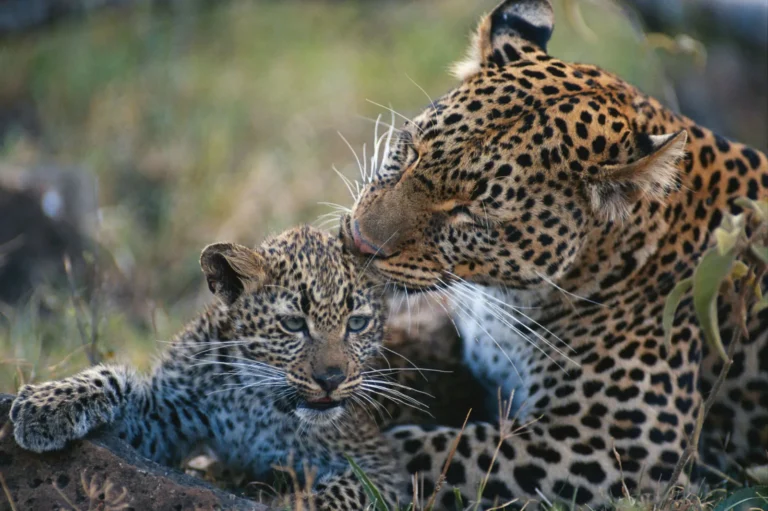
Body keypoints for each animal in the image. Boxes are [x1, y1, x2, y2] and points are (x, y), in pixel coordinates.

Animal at [10, 225, 401, 510]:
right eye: (293, 324)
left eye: (357, 324)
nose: (331, 380)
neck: (257, 400)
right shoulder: (161, 421)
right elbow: (114, 378)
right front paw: (46, 403)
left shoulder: (381, 465)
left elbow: (341, 492)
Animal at [340, 0, 768, 508]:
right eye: (410, 152)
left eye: (470, 213)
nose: (358, 242)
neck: (507, 299)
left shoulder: (619, 447)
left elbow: (435, 453)